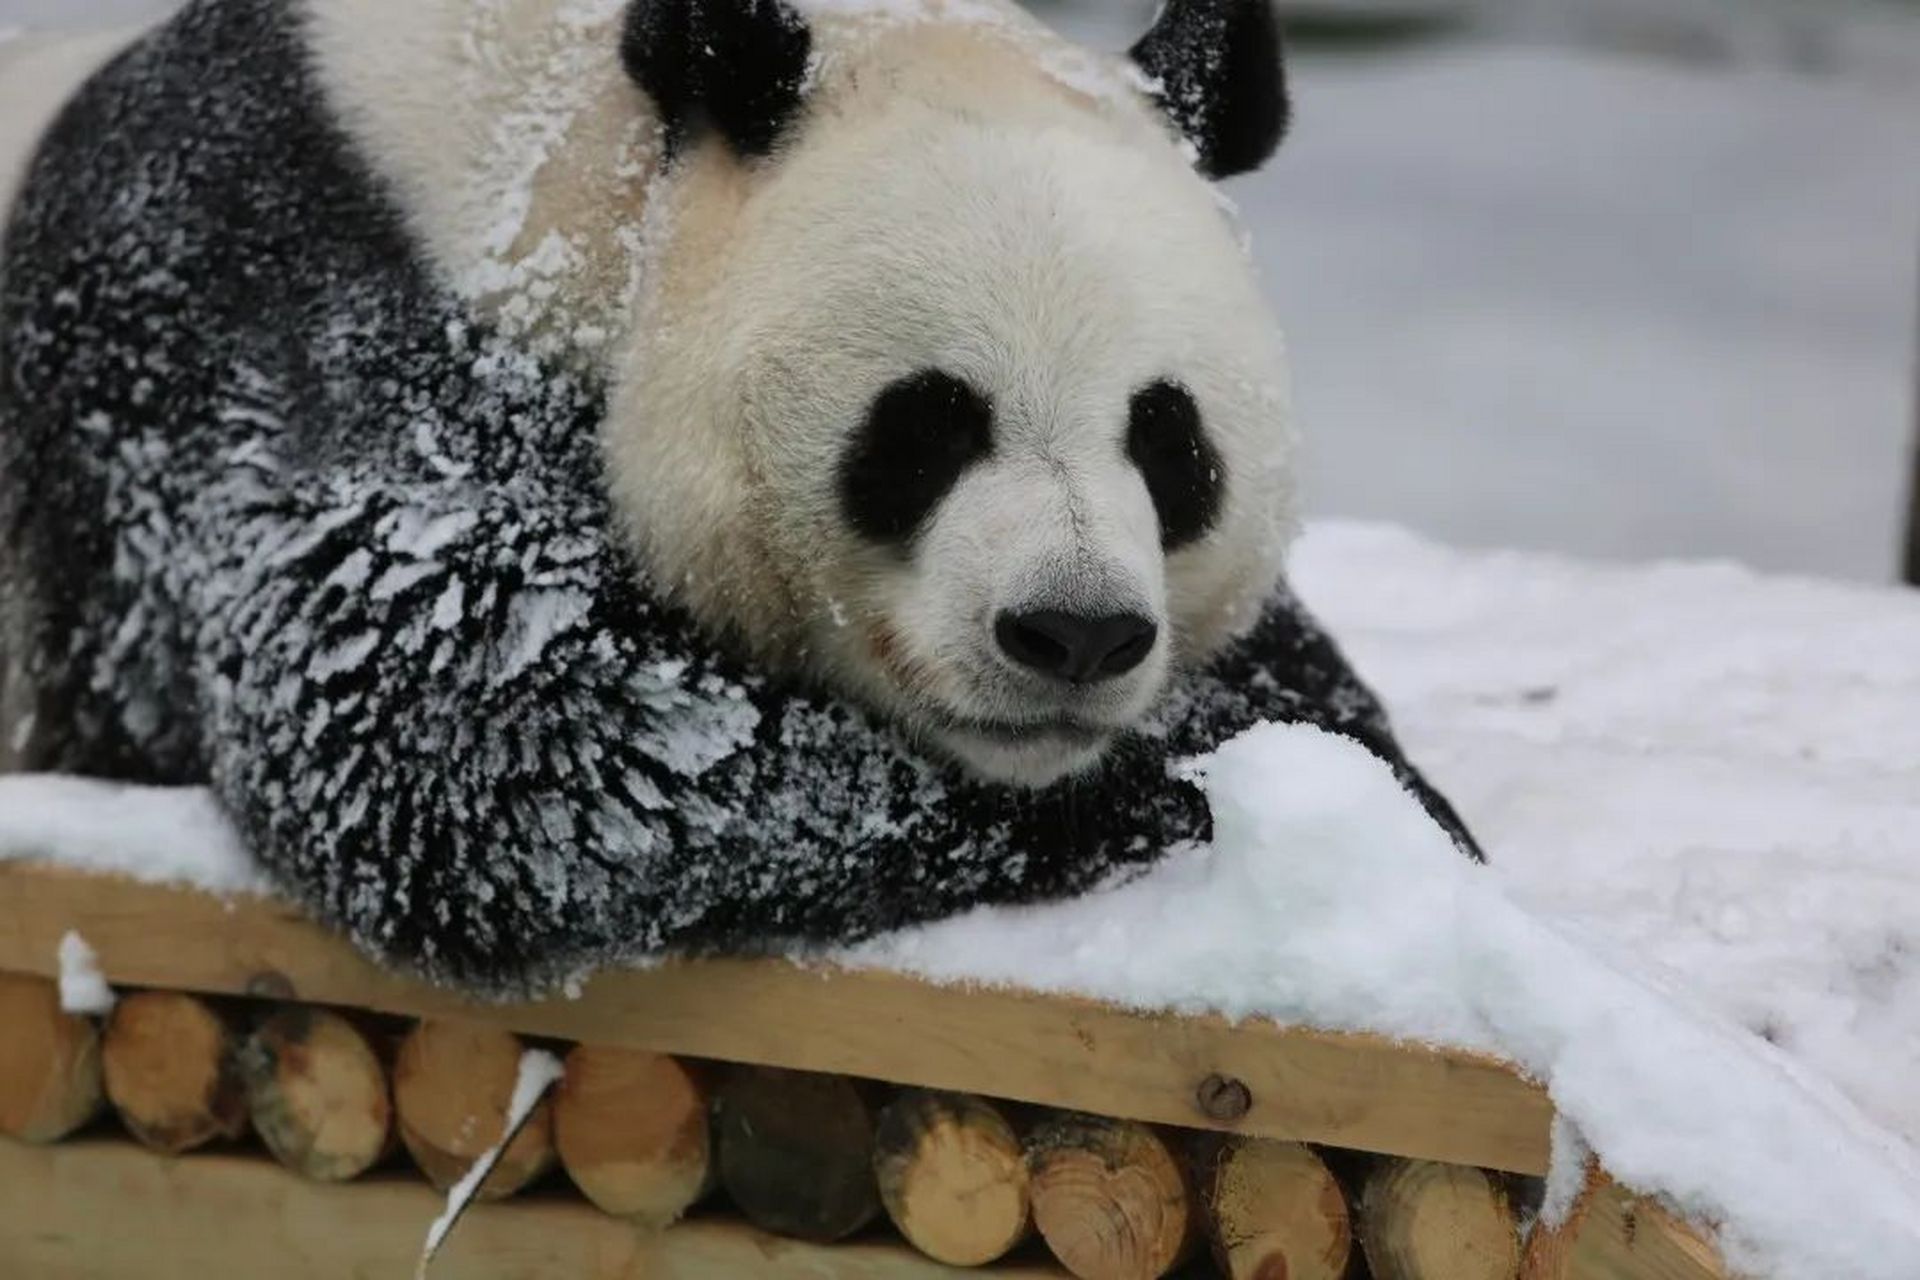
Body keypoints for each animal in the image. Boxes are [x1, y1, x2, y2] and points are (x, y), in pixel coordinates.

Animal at [0, 0, 1474, 990]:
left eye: (1169, 442)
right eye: (927, 425)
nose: (1076, 633)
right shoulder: (275, 320)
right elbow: (462, 721)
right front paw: (1146, 795)